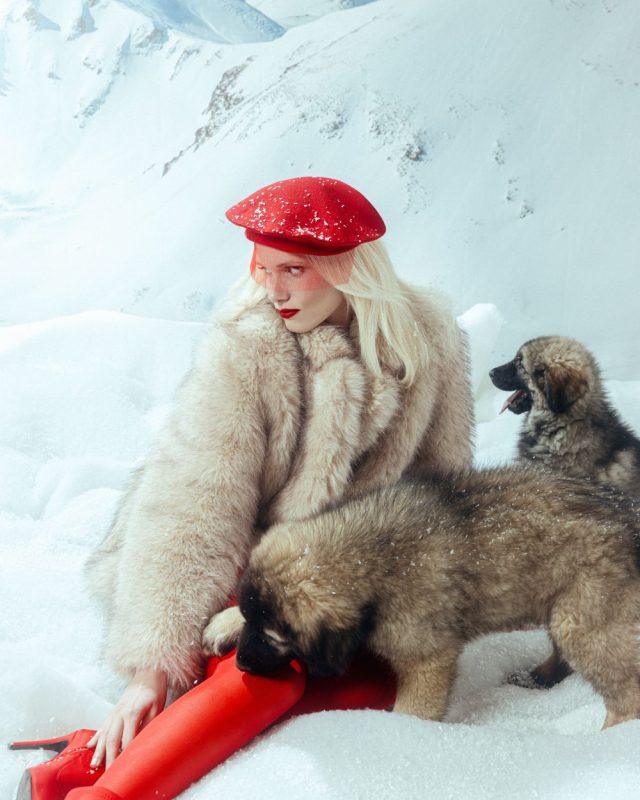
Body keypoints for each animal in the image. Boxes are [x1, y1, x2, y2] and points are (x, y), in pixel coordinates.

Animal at [203, 467, 640, 729]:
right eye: (253, 622)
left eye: (276, 639)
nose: (240, 663)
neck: (373, 553)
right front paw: (226, 621)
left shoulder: (426, 659)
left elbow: (415, 710)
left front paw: (406, 738)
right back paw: (536, 678)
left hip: (582, 619)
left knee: (625, 693)